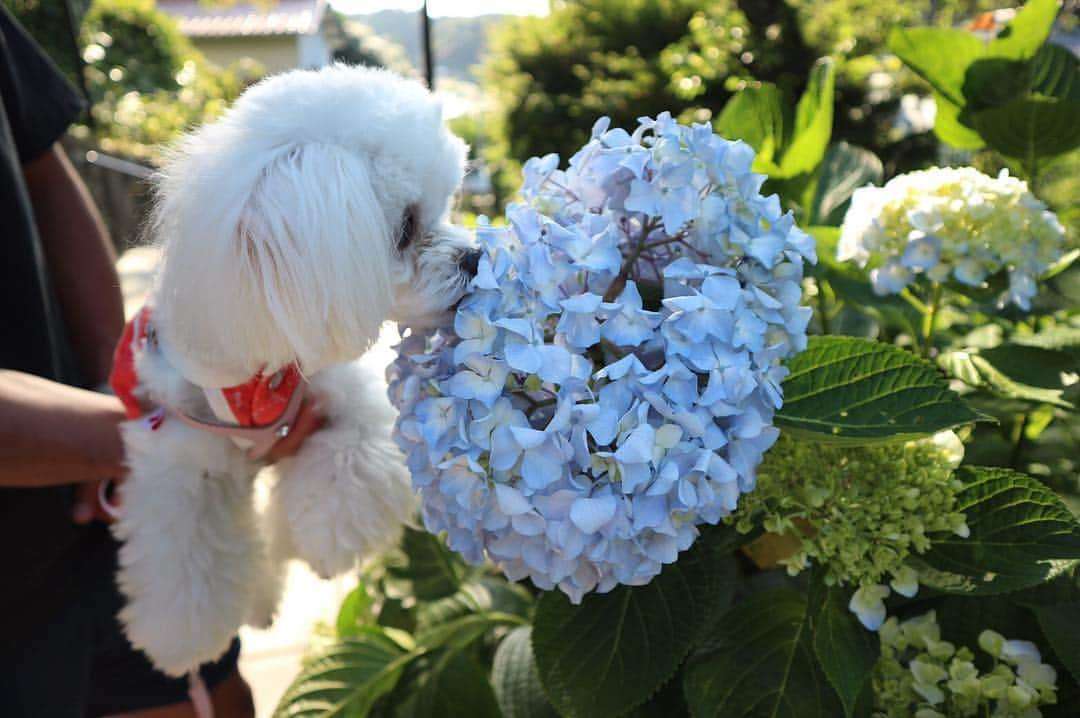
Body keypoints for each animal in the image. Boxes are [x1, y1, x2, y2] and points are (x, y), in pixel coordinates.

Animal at [111, 64, 479, 673]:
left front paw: (326, 539)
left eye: (448, 204)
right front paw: (179, 639)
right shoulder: (178, 456)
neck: (261, 375)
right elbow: (182, 551)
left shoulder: (349, 395)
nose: (476, 258)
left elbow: (354, 459)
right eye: (404, 227)